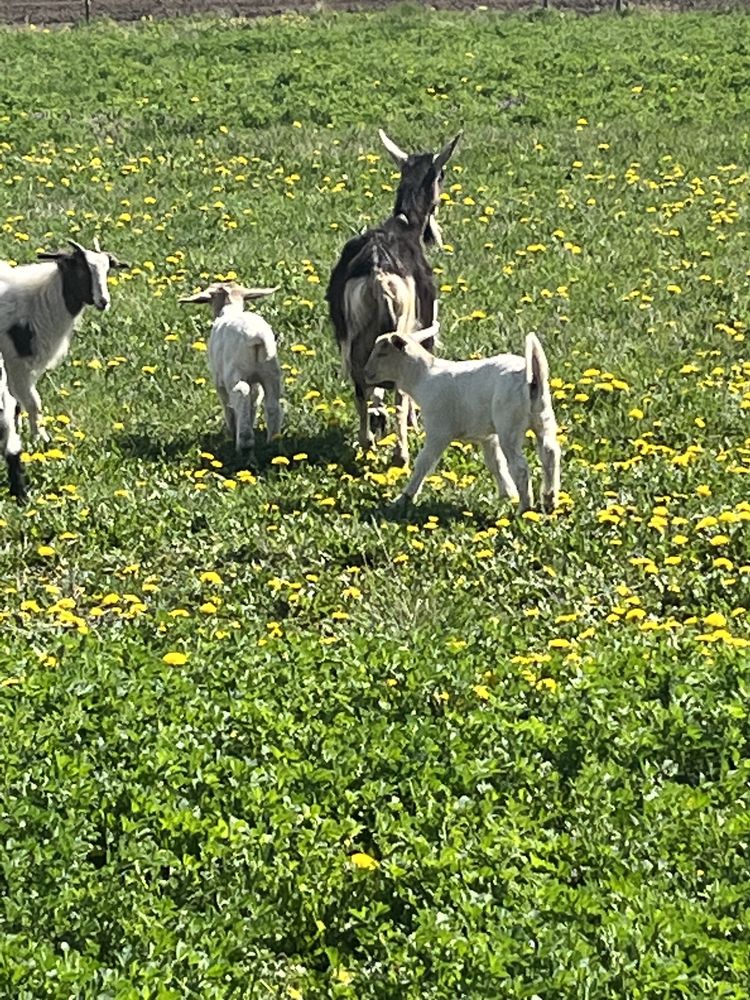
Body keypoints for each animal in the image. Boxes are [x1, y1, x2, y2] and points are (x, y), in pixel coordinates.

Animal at [0, 238, 129, 442]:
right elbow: (32, 402)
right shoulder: (17, 363)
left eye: (107, 270)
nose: (104, 302)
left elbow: (18, 403)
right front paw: (40, 438)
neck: (39, 302)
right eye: (81, 269)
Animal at [181, 282, 284, 454]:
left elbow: (228, 406)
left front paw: (232, 431)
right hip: (270, 371)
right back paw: (273, 441)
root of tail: (257, 337)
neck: (230, 309)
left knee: (241, 393)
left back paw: (244, 441)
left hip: (234, 372)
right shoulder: (256, 381)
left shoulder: (219, 381)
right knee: (271, 404)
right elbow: (254, 402)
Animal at [326, 129, 462, 468]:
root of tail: (378, 275)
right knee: (399, 391)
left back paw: (368, 441)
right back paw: (400, 454)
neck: (403, 226)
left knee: (361, 389)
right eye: (441, 173)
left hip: (356, 338)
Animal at [364, 330, 564, 516]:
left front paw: (404, 498)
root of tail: (530, 377)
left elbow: (424, 463)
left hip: (509, 425)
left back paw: (525, 508)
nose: (365, 373)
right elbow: (495, 463)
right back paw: (549, 500)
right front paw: (508, 494)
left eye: (382, 353)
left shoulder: (438, 430)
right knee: (550, 454)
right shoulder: (487, 436)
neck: (421, 378)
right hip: (543, 419)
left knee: (520, 467)